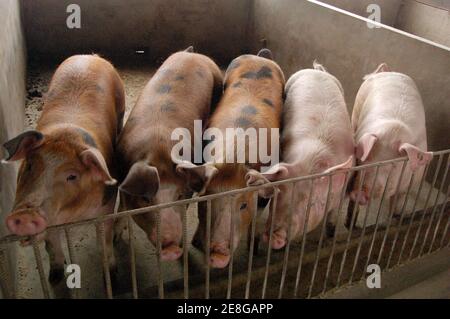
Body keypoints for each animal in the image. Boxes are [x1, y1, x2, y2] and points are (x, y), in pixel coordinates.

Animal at [2, 55, 125, 284]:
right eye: (30, 165)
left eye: (72, 176)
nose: (26, 213)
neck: (72, 215)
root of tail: (90, 56)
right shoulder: (53, 221)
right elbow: (52, 241)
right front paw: (55, 278)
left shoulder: (106, 204)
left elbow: (104, 241)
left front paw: (112, 279)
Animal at [115, 47, 222, 262]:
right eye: (145, 199)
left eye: (180, 195)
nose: (171, 247)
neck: (159, 153)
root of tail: (193, 53)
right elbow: (122, 210)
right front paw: (116, 238)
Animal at [176, 48, 284, 268]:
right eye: (206, 203)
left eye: (243, 205)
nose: (218, 254)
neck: (233, 156)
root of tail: (260, 56)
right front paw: (196, 243)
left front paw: (254, 251)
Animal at [246, 62, 356, 250]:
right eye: (278, 195)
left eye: (311, 204)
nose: (273, 236)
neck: (312, 162)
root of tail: (316, 70)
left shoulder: (342, 191)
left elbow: (332, 218)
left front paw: (329, 238)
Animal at [348, 64, 432, 219]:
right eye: (364, 160)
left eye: (393, 166)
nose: (360, 193)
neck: (392, 134)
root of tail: (388, 72)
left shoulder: (411, 182)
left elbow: (398, 204)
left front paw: (397, 217)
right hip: (357, 107)